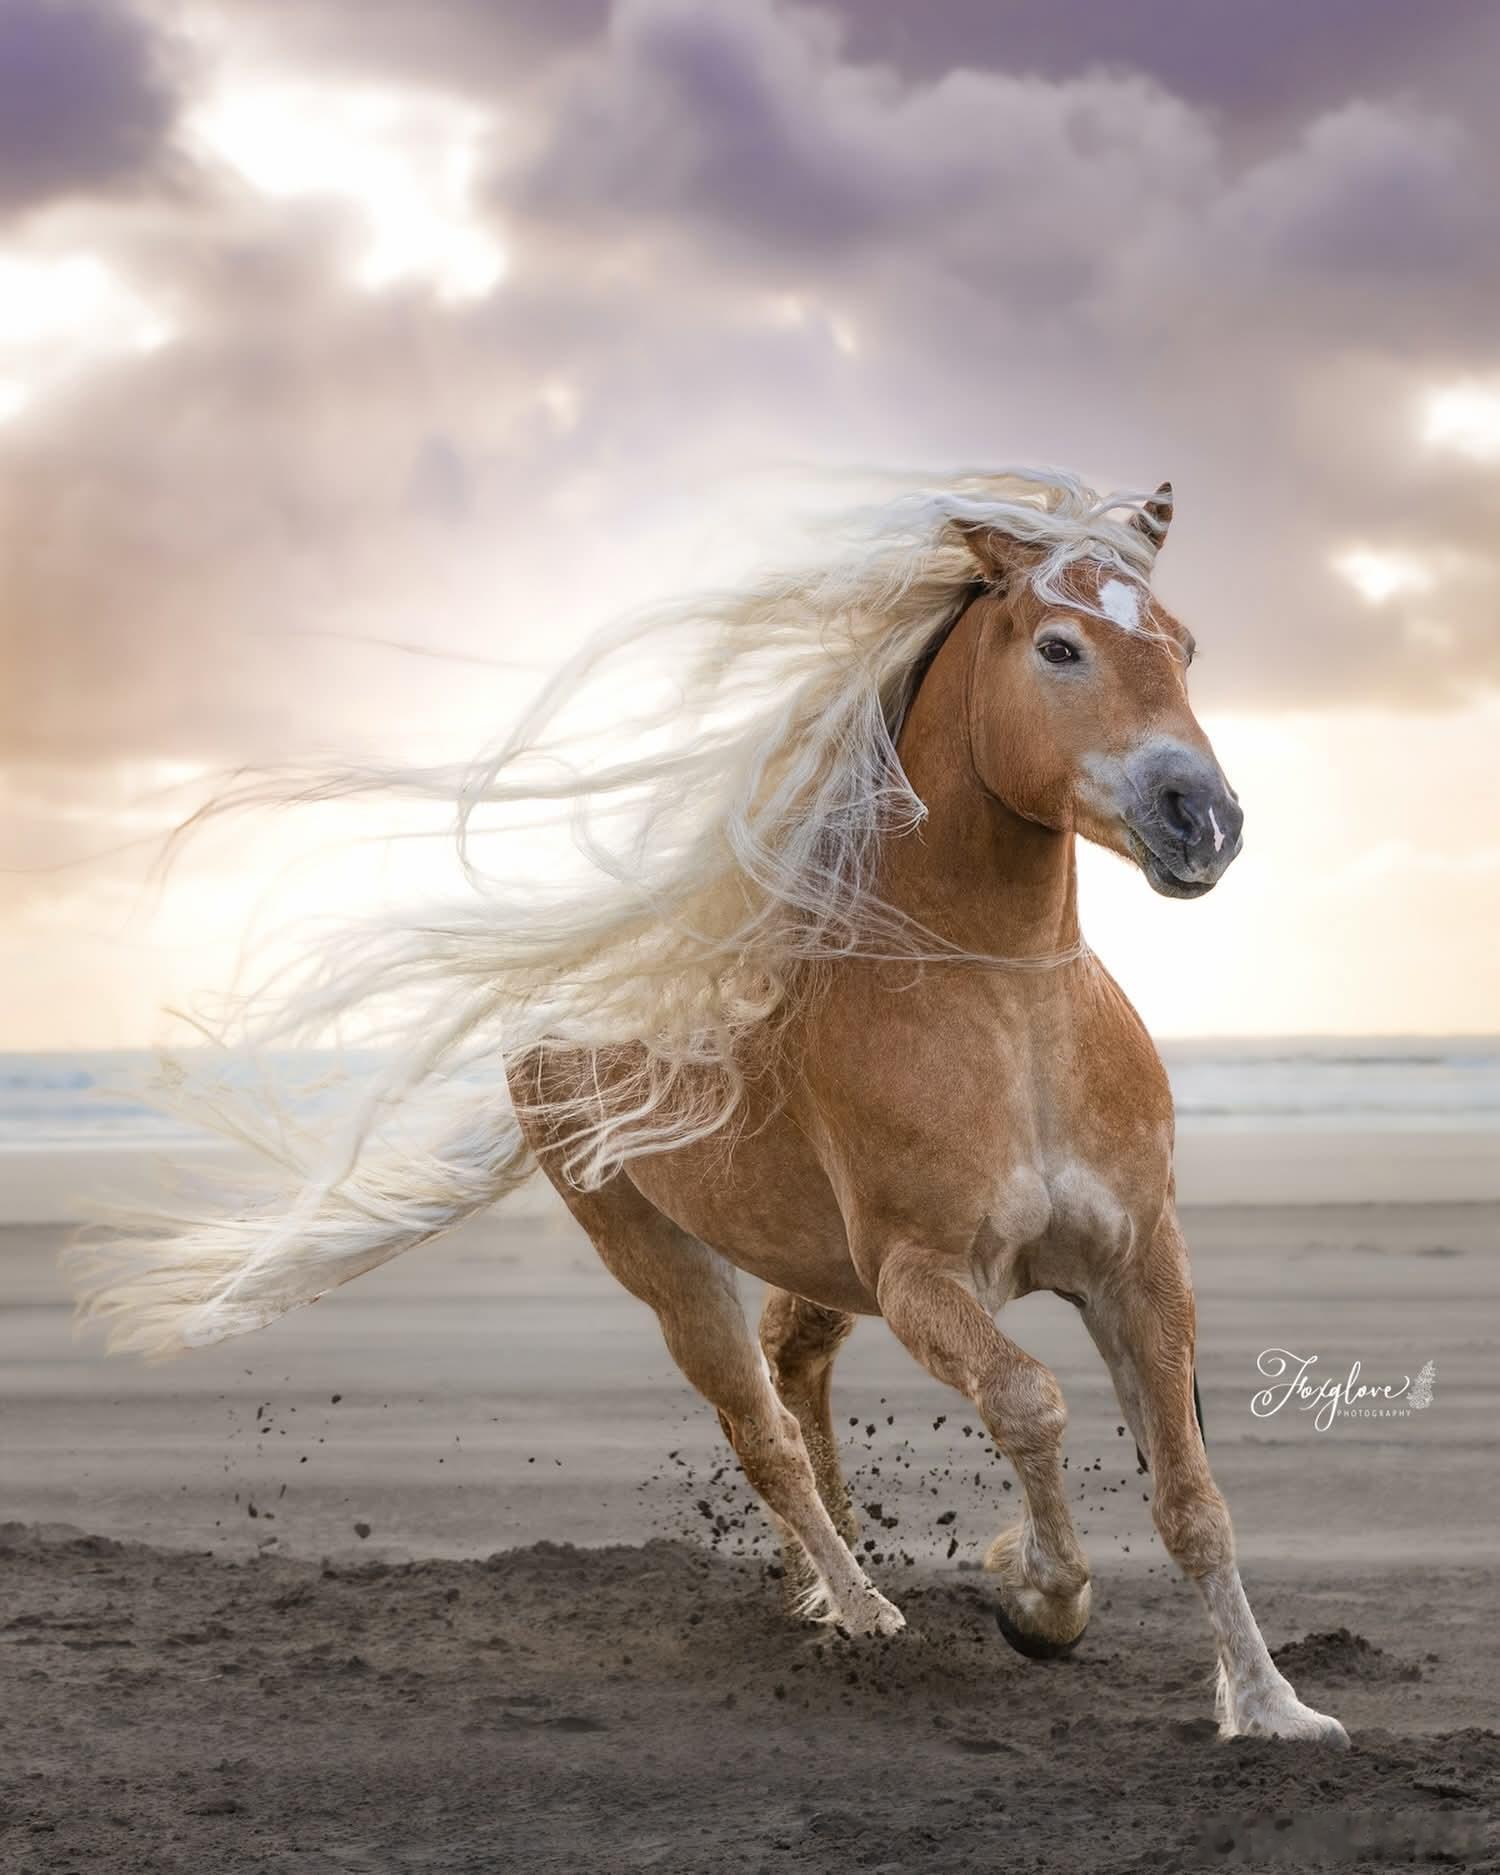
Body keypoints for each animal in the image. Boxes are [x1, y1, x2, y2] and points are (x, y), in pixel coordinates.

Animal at [70, 468, 1347, 1746]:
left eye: (1184, 644)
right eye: (1060, 646)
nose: (1202, 820)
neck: (1009, 1014)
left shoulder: (1140, 1265)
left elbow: (1191, 1494)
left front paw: (1273, 1710)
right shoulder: (923, 1276)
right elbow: (1027, 1402)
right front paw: (1037, 1600)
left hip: (808, 1266)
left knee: (792, 1374)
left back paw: (824, 1589)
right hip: (667, 1265)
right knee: (760, 1430)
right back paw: (858, 1611)